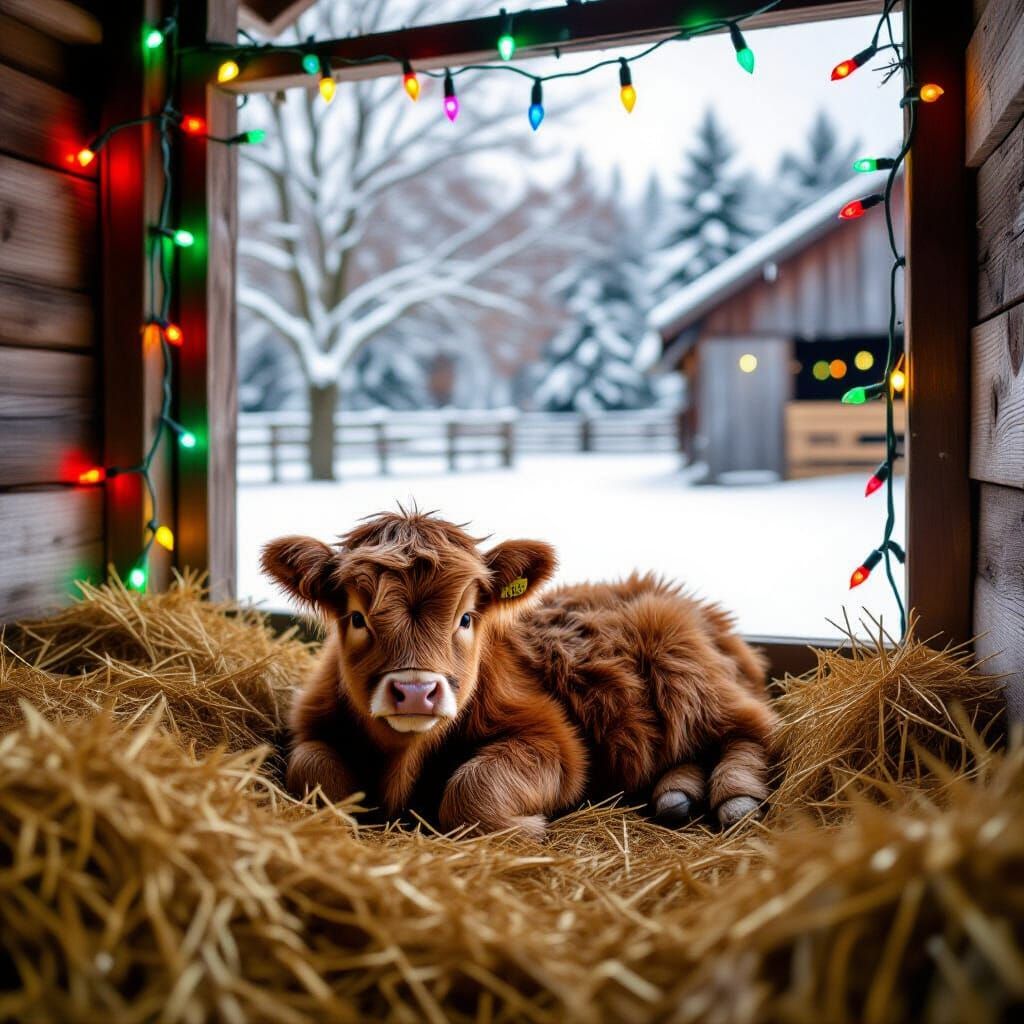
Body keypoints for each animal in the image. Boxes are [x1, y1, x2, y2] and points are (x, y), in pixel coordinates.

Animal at [262, 510, 778, 840]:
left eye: (466, 618)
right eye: (356, 617)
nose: (415, 691)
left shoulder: (554, 741)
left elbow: (471, 787)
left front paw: (523, 828)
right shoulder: (309, 727)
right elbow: (314, 771)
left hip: (687, 674)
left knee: (753, 729)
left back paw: (736, 798)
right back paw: (677, 795)